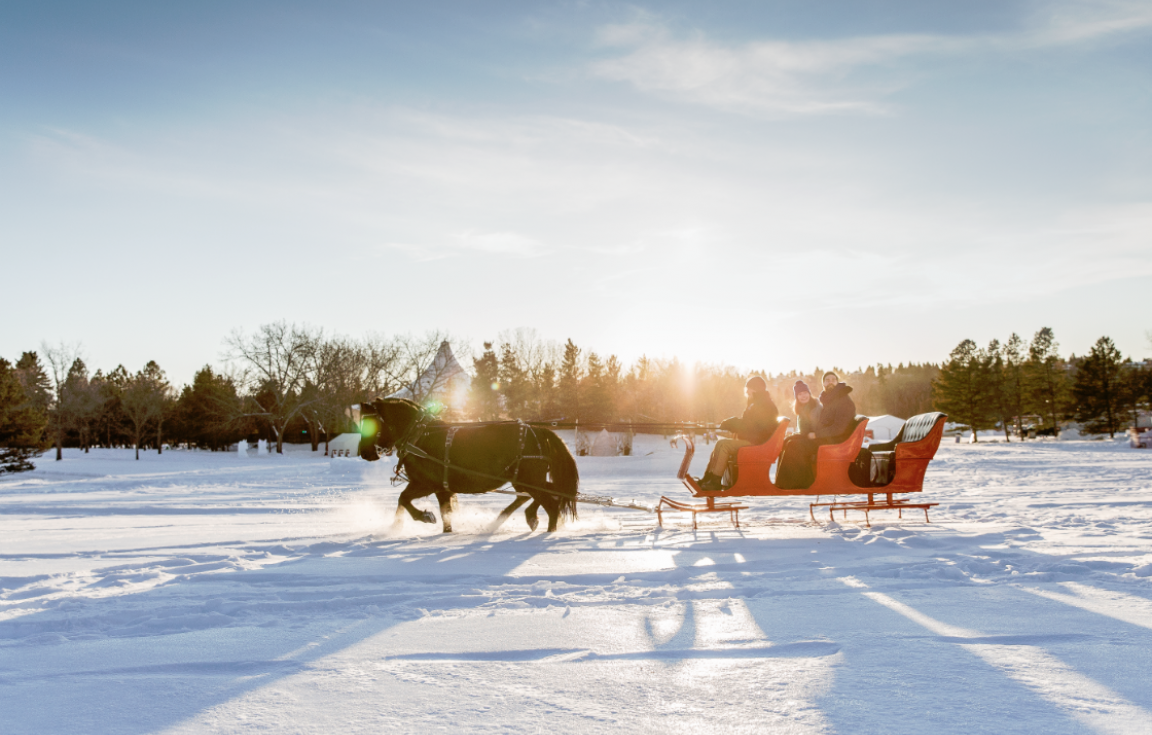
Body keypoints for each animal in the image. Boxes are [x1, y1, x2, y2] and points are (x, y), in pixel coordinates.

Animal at [357, 400, 576, 532]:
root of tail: (539, 430)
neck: (419, 437)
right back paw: (519, 518)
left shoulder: (426, 484)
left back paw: (548, 531)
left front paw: (425, 516)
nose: (363, 452)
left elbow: (403, 498)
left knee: (551, 503)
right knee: (546, 493)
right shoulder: (442, 488)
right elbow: (444, 514)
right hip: (522, 479)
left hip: (529, 479)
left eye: (370, 425)